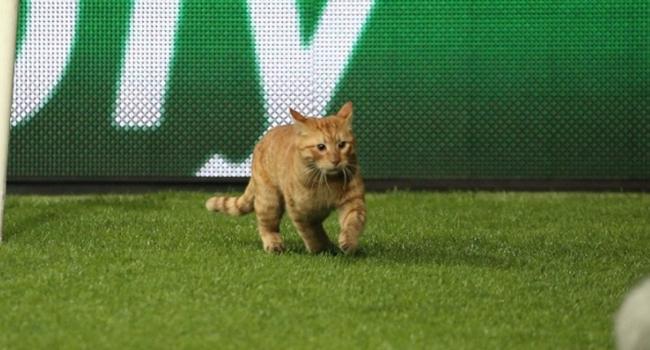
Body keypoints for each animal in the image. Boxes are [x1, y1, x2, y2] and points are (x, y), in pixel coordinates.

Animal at [205, 102, 364, 254]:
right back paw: (274, 244)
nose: (335, 160)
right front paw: (319, 248)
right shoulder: (300, 212)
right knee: (266, 227)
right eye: (321, 147)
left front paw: (348, 242)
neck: (327, 181)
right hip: (269, 202)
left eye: (342, 145)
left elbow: (352, 222)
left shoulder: (353, 200)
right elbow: (311, 233)